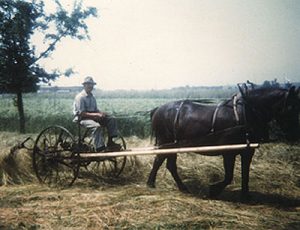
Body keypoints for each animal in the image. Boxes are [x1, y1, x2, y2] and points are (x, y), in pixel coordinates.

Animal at [146, 83, 298, 199]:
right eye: (291, 107)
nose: (294, 135)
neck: (246, 113)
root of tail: (157, 109)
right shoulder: (228, 152)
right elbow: (228, 176)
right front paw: (213, 190)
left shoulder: (247, 151)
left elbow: (245, 173)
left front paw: (245, 195)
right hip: (165, 141)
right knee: (159, 160)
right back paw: (151, 183)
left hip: (174, 144)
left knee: (169, 165)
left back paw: (181, 187)